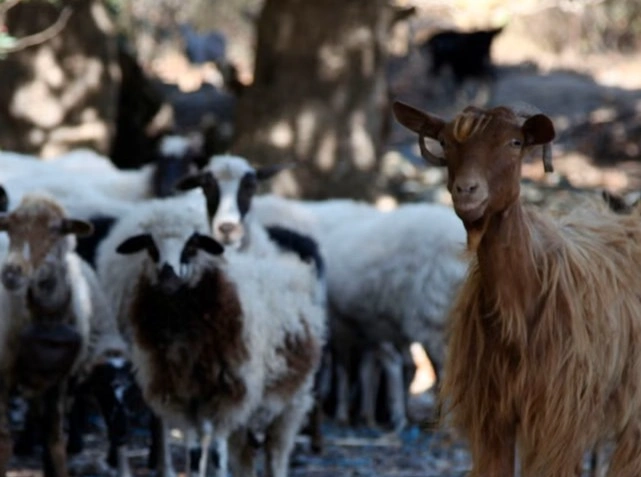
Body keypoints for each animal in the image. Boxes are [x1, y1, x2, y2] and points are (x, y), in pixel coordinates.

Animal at [0, 193, 129, 477]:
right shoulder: (3, 372)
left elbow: (54, 441)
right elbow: (4, 442)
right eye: (9, 228)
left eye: (55, 229)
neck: (48, 321)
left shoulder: (60, 379)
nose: (11, 272)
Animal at [95, 196, 326, 477]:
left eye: (192, 245)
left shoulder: (227, 396)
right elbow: (195, 452)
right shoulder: (185, 396)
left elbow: (216, 450)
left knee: (275, 453)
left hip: (292, 401)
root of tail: (290, 266)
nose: (168, 276)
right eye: (150, 246)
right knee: (247, 452)